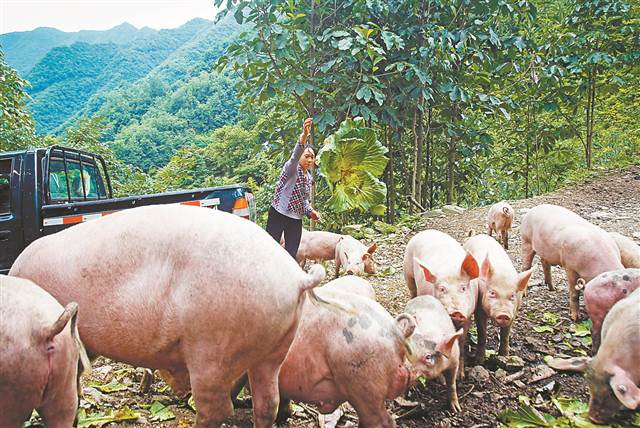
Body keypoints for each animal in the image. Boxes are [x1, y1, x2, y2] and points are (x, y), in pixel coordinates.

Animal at [402, 231, 478, 378]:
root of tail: (426, 231)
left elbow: (461, 342)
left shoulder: (469, 314)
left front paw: (461, 376)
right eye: (442, 289)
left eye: (463, 288)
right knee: (412, 290)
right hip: (408, 273)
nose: (456, 312)